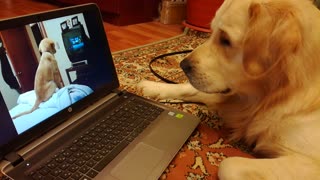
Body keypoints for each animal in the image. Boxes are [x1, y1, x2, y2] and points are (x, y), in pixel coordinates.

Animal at [138, 0, 320, 178]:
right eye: (211, 32)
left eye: (226, 40)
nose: (183, 65)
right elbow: (190, 88)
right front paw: (153, 87)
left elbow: (227, 164)